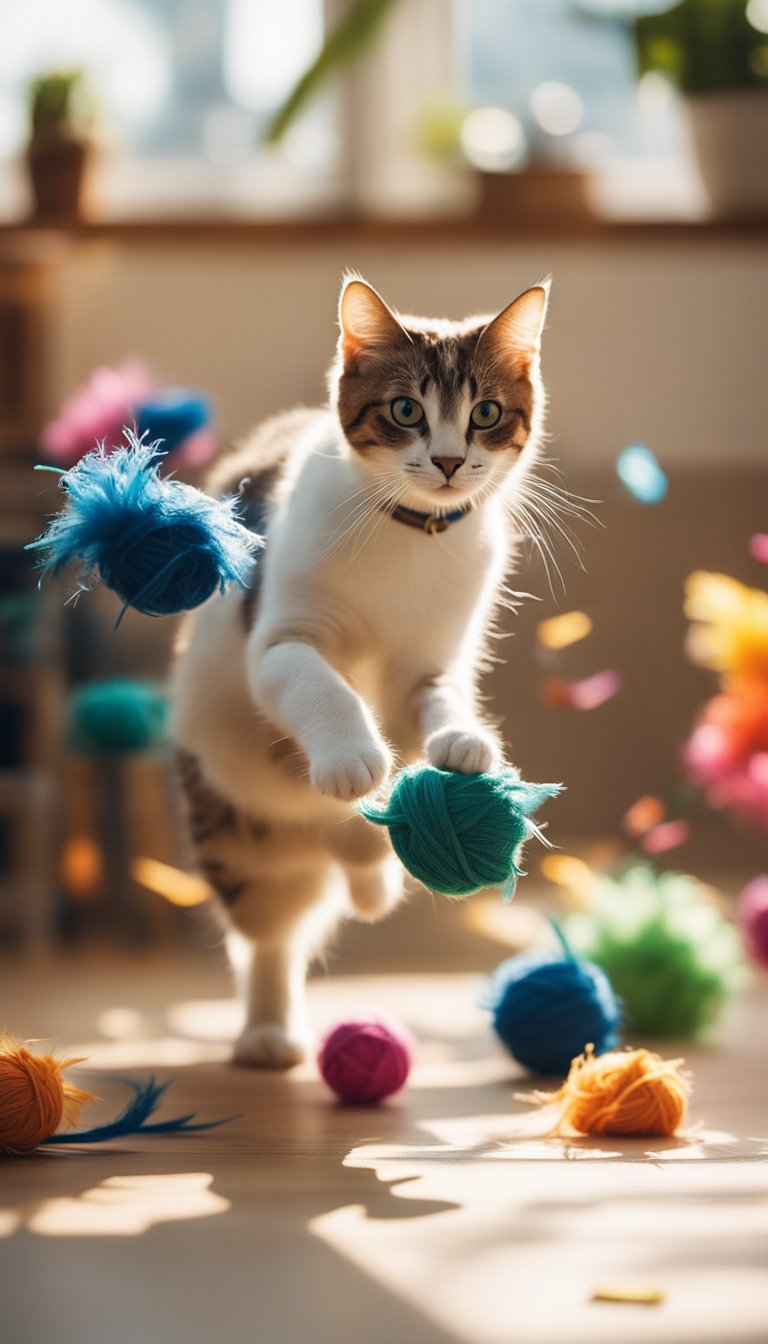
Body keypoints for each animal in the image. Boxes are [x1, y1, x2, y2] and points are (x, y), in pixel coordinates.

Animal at [171, 275, 548, 1069]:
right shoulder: (279, 640)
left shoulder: (429, 662)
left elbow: (436, 698)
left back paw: (371, 863)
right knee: (269, 933)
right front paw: (350, 754)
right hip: (234, 819)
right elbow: (322, 683)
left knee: (348, 861)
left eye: (486, 414)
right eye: (406, 411)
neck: (409, 532)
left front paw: (462, 739)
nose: (448, 462)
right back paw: (268, 1031)